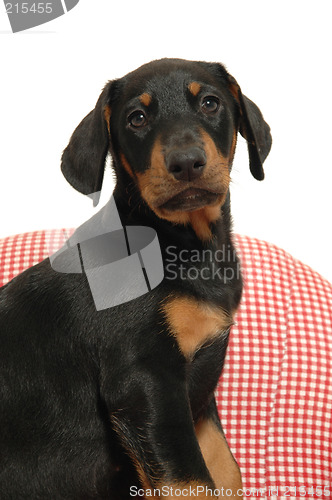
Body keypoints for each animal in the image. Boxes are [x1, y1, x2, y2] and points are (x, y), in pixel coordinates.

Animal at [0, 57, 272, 496]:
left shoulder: (197, 390)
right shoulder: (145, 379)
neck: (187, 247)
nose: (186, 162)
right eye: (137, 118)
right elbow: (190, 482)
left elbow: (226, 471)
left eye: (210, 103)